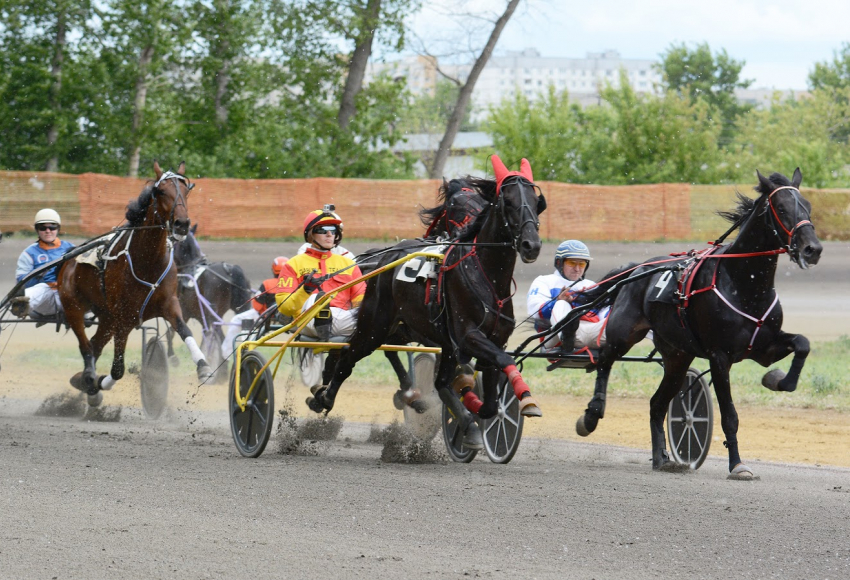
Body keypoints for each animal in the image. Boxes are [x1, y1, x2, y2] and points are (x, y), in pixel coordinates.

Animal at [58, 159, 214, 404]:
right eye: (161, 191)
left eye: (186, 190)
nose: (181, 223)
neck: (148, 262)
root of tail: (69, 258)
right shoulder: (124, 318)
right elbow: (117, 370)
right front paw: (98, 382)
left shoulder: (168, 304)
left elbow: (184, 329)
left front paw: (203, 366)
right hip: (74, 307)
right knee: (86, 346)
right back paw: (89, 379)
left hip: (107, 318)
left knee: (95, 344)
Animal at [168, 224, 252, 378]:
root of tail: (229, 269)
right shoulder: (203, 319)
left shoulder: (184, 312)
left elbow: (171, 332)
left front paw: (172, 357)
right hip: (241, 308)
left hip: (213, 314)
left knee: (221, 338)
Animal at [304, 156, 544, 446]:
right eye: (507, 201)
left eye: (536, 201)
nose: (532, 245)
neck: (486, 275)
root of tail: (381, 259)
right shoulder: (468, 337)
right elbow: (504, 360)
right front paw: (526, 399)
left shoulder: (484, 340)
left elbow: (487, 400)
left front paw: (470, 408)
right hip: (374, 327)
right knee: (348, 357)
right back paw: (323, 397)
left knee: (430, 378)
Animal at [576, 170, 820, 478]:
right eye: (782, 208)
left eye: (808, 207)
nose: (813, 249)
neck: (744, 283)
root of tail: (637, 269)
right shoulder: (719, 356)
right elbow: (729, 415)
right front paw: (737, 465)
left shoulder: (764, 348)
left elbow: (802, 344)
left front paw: (777, 379)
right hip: (624, 332)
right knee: (605, 359)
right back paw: (591, 415)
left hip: (677, 357)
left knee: (657, 404)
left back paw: (662, 459)